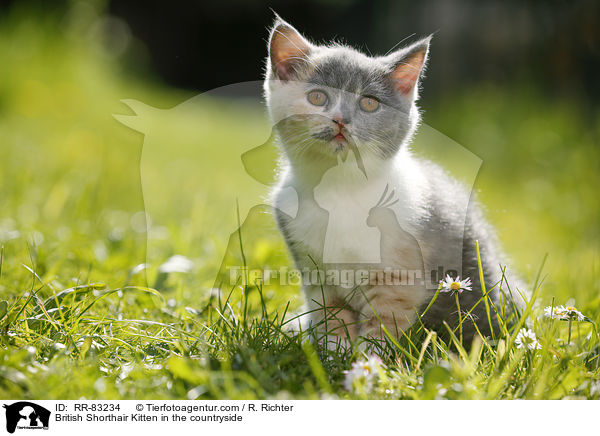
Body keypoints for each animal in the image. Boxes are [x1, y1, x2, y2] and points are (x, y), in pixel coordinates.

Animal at [262, 16, 520, 344]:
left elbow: (381, 324)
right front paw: (334, 351)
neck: (340, 188)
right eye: (317, 97)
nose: (341, 120)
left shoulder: (399, 276)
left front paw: (367, 357)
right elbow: (330, 317)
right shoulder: (316, 273)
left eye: (369, 104)